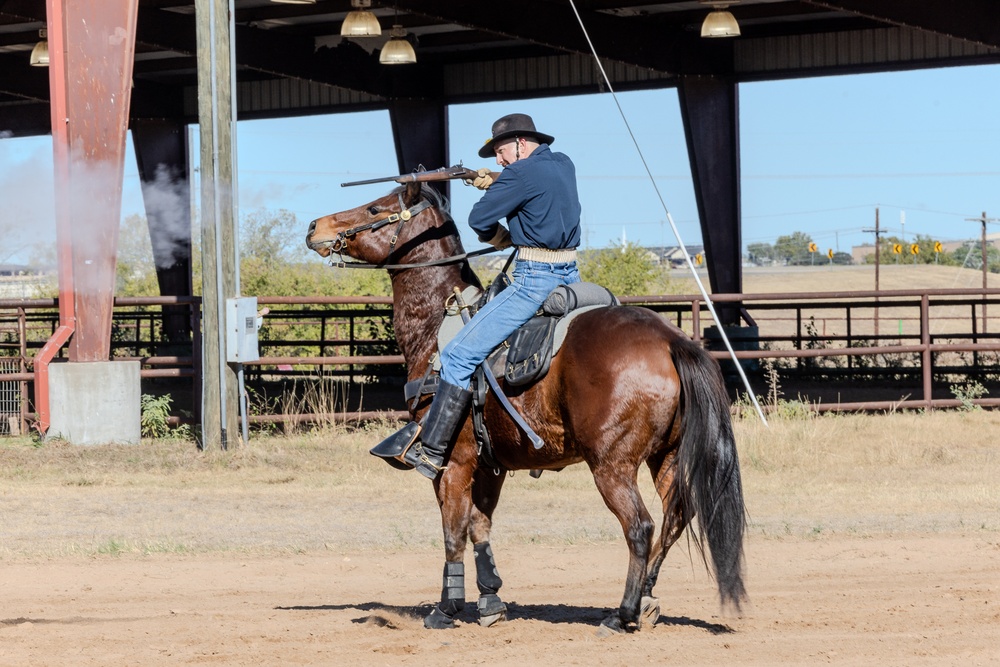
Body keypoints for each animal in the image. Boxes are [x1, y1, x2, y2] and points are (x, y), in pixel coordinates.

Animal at [308, 181, 748, 632]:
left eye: (374, 208)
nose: (314, 227)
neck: (437, 328)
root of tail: (669, 340)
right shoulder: (490, 466)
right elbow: (480, 525)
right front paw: (490, 600)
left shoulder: (453, 463)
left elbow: (453, 530)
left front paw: (446, 608)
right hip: (667, 457)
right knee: (675, 517)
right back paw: (646, 600)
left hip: (612, 464)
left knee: (640, 526)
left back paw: (622, 613)